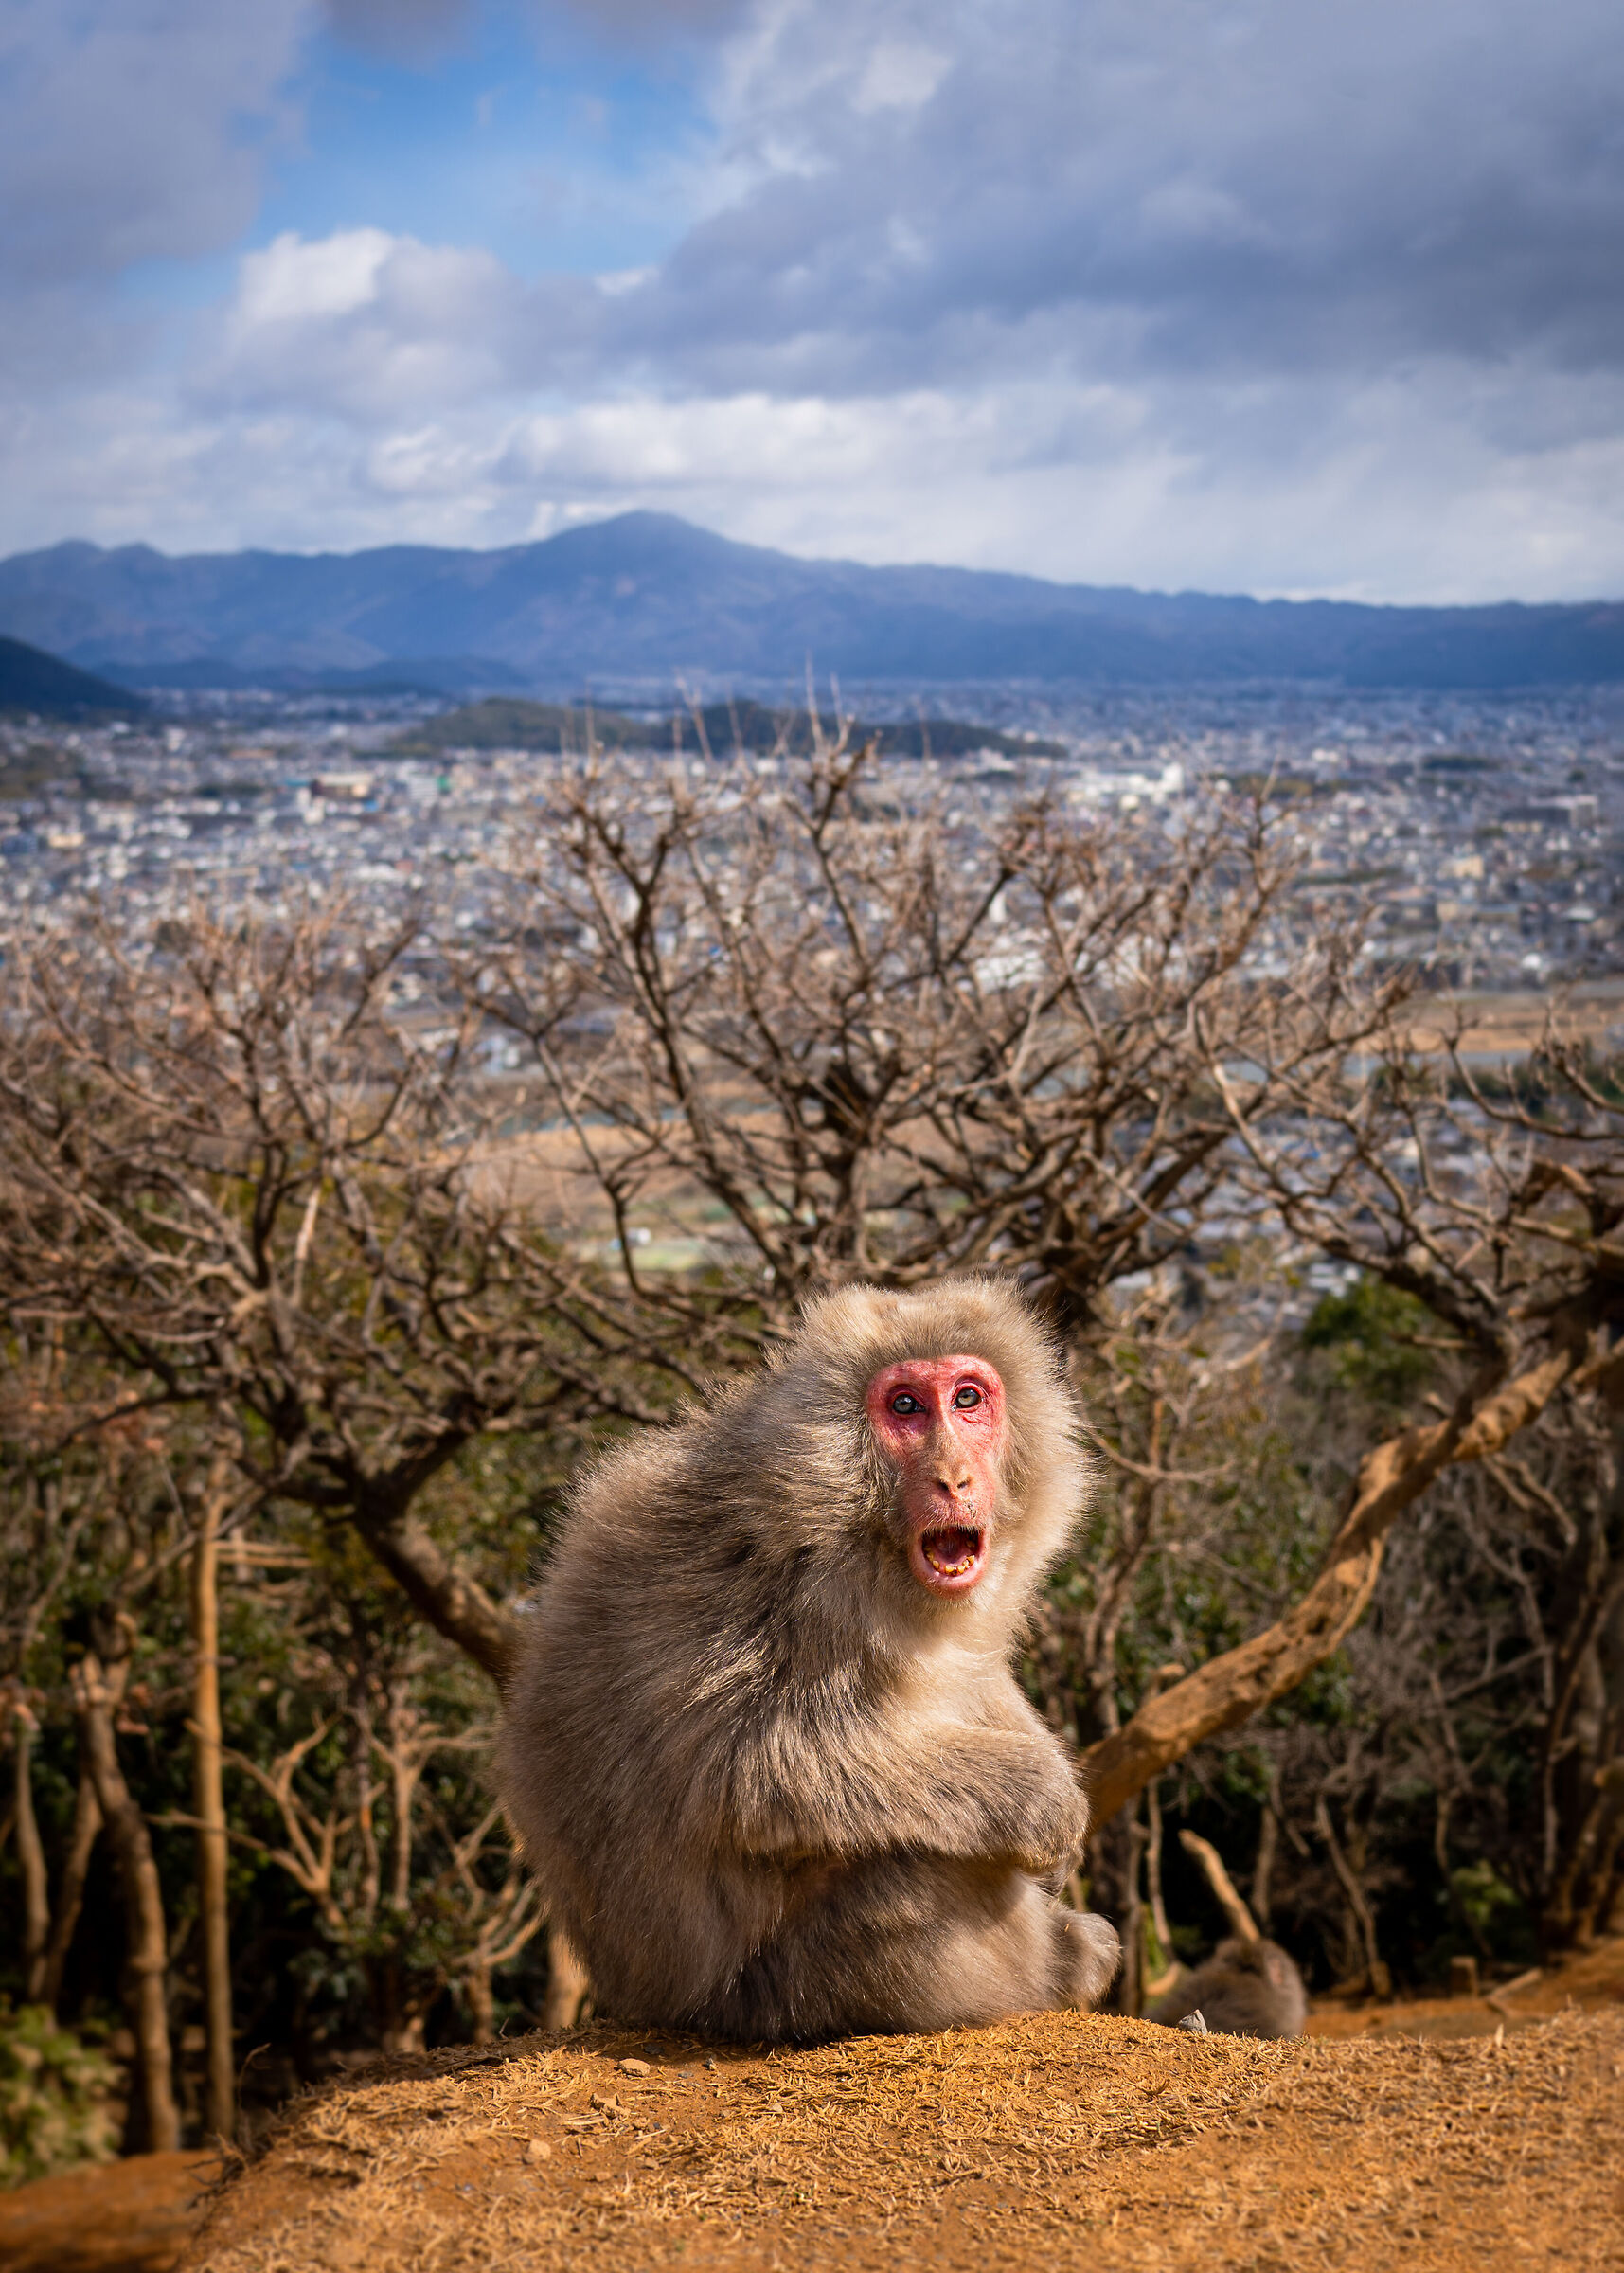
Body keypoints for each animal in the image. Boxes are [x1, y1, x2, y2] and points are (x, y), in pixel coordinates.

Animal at [496, 1277, 1120, 2042]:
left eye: (968, 1399)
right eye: (905, 1406)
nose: (954, 1478)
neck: (855, 1524)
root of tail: (652, 2001)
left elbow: (969, 1671)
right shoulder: (786, 1588)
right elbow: (759, 1767)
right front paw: (1041, 1796)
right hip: (806, 1983)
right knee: (922, 1868)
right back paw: (1066, 1961)